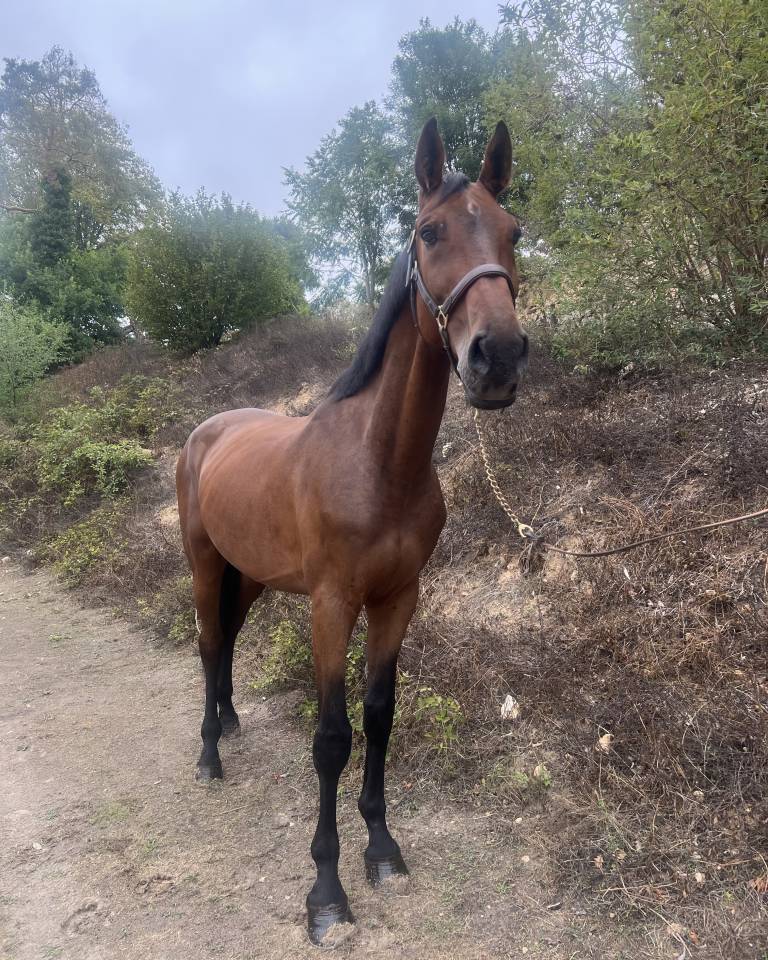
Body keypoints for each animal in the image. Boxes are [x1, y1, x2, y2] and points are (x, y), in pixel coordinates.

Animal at [175, 117, 528, 944]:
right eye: (430, 232)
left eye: (514, 232)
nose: (497, 358)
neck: (379, 463)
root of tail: (204, 432)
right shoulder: (331, 604)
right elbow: (332, 737)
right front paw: (327, 892)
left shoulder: (398, 599)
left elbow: (380, 715)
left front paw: (382, 849)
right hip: (205, 563)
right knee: (206, 642)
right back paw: (209, 756)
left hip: (253, 577)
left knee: (227, 641)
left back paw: (230, 722)